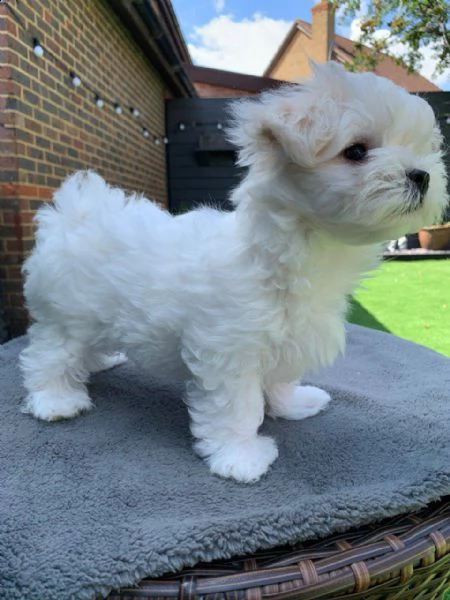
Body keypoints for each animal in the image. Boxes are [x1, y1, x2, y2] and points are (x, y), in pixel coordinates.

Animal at [19, 62, 448, 482]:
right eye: (356, 151)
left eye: (419, 149)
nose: (421, 175)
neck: (292, 253)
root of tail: (75, 215)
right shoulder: (228, 350)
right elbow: (238, 406)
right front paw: (240, 457)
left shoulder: (286, 339)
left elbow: (280, 379)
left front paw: (293, 404)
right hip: (67, 317)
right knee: (48, 356)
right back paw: (56, 400)